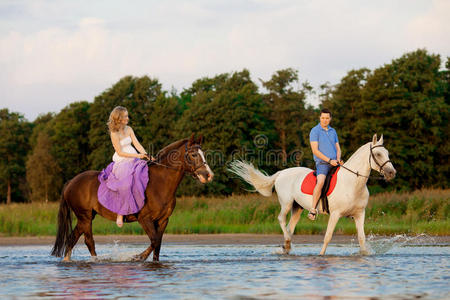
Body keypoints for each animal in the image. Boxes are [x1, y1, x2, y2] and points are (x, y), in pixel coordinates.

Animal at [51, 135, 214, 262]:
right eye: (194, 154)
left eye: (203, 153)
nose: (208, 175)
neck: (159, 183)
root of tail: (71, 182)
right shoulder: (144, 219)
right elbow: (154, 241)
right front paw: (137, 257)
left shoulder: (163, 220)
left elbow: (158, 244)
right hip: (85, 217)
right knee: (89, 241)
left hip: (85, 217)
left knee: (72, 238)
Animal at [230, 135, 396, 254]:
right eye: (378, 154)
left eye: (387, 153)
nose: (391, 173)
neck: (353, 183)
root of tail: (281, 173)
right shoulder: (335, 214)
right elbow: (328, 236)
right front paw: (321, 255)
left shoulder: (360, 214)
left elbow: (361, 239)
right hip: (286, 203)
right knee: (281, 219)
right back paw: (287, 242)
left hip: (297, 208)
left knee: (290, 227)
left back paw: (287, 246)